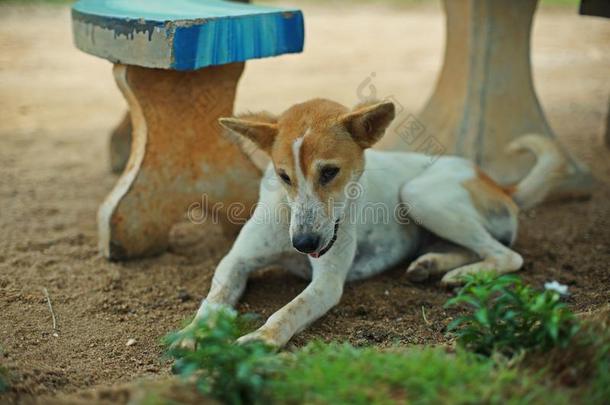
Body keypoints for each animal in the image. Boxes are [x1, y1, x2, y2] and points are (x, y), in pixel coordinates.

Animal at [173, 98, 564, 348]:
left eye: (329, 172)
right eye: (284, 176)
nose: (304, 244)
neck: (288, 213)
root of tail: (499, 184)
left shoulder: (327, 283)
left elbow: (287, 312)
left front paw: (261, 339)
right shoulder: (235, 261)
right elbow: (212, 301)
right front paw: (194, 333)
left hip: (418, 193)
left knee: (507, 255)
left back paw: (465, 274)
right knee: (474, 249)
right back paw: (434, 265)